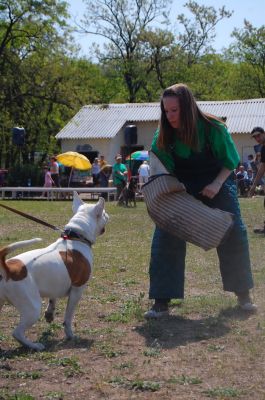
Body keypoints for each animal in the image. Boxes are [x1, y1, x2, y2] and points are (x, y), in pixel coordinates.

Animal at [0, 192, 108, 352]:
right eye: (104, 213)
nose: (109, 215)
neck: (76, 237)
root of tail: (8, 268)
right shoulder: (77, 290)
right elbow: (68, 317)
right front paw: (70, 335)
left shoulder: (55, 284)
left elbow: (53, 299)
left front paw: (50, 314)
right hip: (32, 308)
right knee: (17, 333)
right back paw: (35, 345)